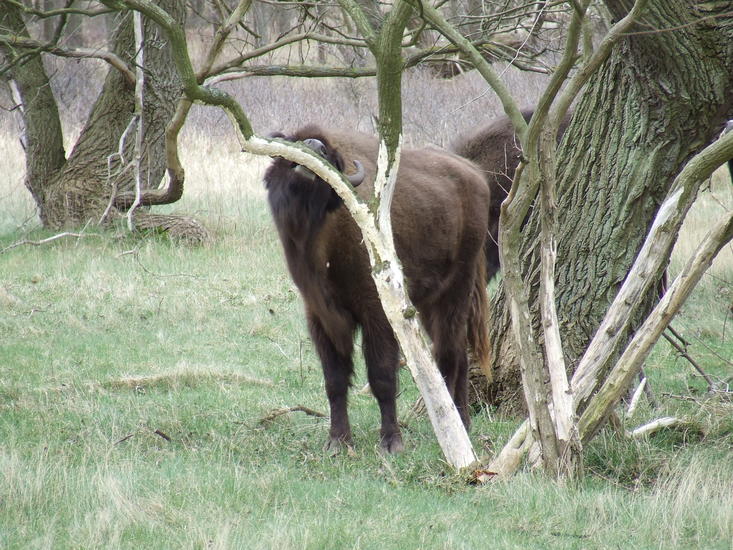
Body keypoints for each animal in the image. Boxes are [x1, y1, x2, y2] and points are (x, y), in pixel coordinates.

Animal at [264, 125, 491, 453]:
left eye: (330, 154)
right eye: (294, 143)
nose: (314, 146)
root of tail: (475, 175)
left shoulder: (378, 314)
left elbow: (382, 377)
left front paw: (391, 442)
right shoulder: (321, 317)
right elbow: (334, 381)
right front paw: (337, 442)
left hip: (456, 290)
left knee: (450, 355)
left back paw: (456, 426)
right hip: (428, 304)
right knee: (457, 352)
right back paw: (460, 424)